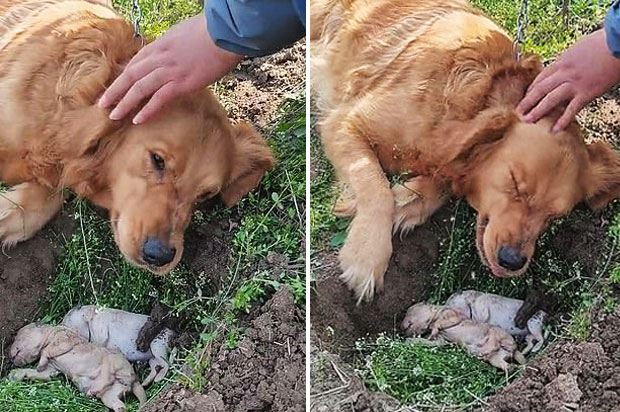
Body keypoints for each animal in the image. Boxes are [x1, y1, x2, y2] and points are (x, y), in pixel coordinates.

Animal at [9, 324, 145, 410]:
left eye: (19, 337)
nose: (10, 356)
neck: (49, 332)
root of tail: (135, 380)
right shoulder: (51, 368)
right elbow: (42, 373)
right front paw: (16, 374)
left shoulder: (64, 340)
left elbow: (47, 351)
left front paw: (39, 364)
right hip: (111, 393)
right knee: (117, 403)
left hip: (113, 362)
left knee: (107, 375)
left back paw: (93, 389)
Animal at [310, 0, 620, 302]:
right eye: (514, 183)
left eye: (555, 216)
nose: (512, 261)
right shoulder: (344, 122)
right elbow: (375, 187)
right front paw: (366, 254)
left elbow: (437, 183)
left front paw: (407, 200)